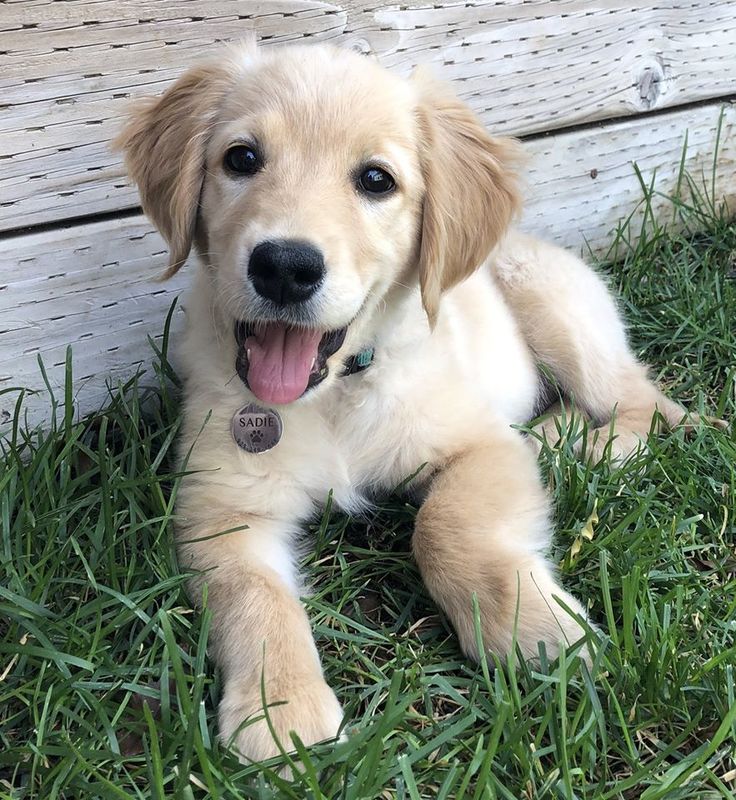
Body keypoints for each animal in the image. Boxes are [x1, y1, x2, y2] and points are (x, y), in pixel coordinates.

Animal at [115, 39, 696, 764]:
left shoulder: (477, 444)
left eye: (375, 180)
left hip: (554, 307)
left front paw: (533, 630)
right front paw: (282, 714)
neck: (336, 391)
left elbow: (446, 526)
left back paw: (586, 446)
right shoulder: (220, 507)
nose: (284, 267)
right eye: (242, 159)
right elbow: (253, 594)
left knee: (643, 402)